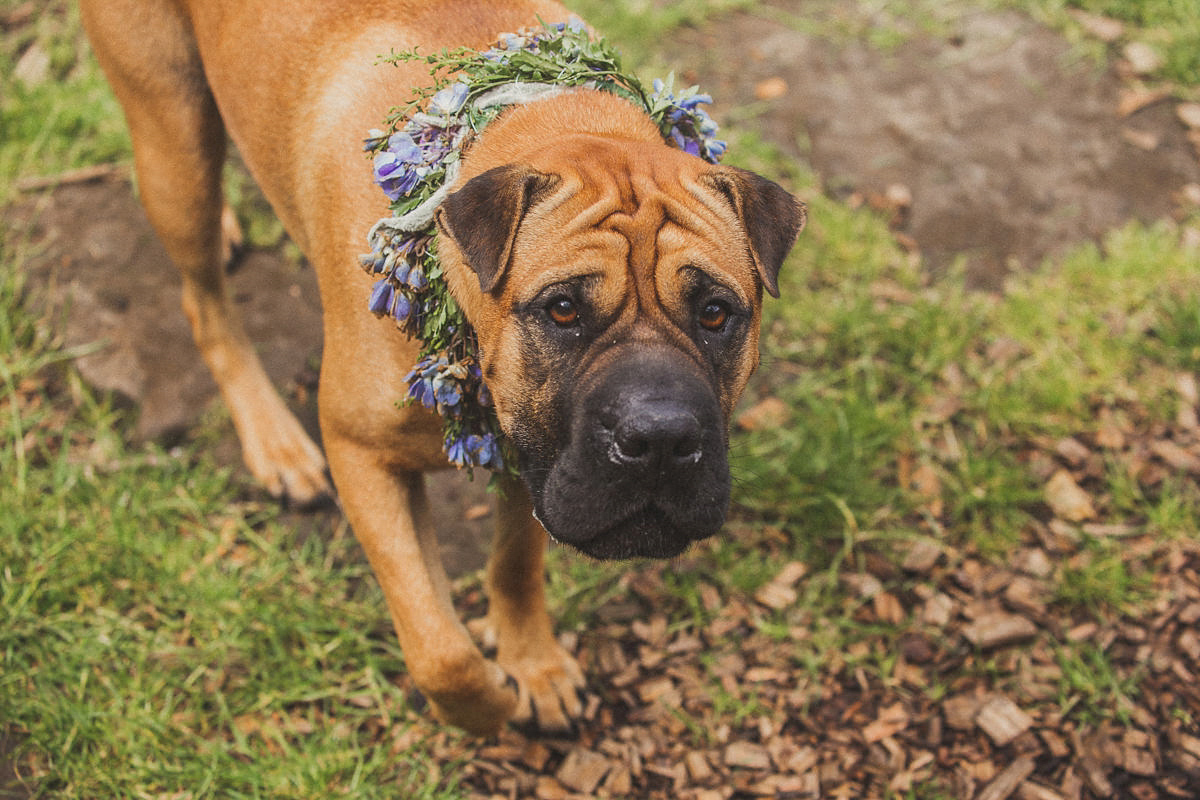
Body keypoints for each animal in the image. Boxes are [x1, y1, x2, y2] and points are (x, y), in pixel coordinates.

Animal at [79, 1, 801, 738]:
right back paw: (275, 442)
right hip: (175, 142)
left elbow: (514, 563)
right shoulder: (362, 455)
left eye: (715, 313)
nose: (659, 439)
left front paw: (532, 664)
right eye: (563, 309)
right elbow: (439, 649)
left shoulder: (531, 452)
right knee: (203, 303)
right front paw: (488, 707)